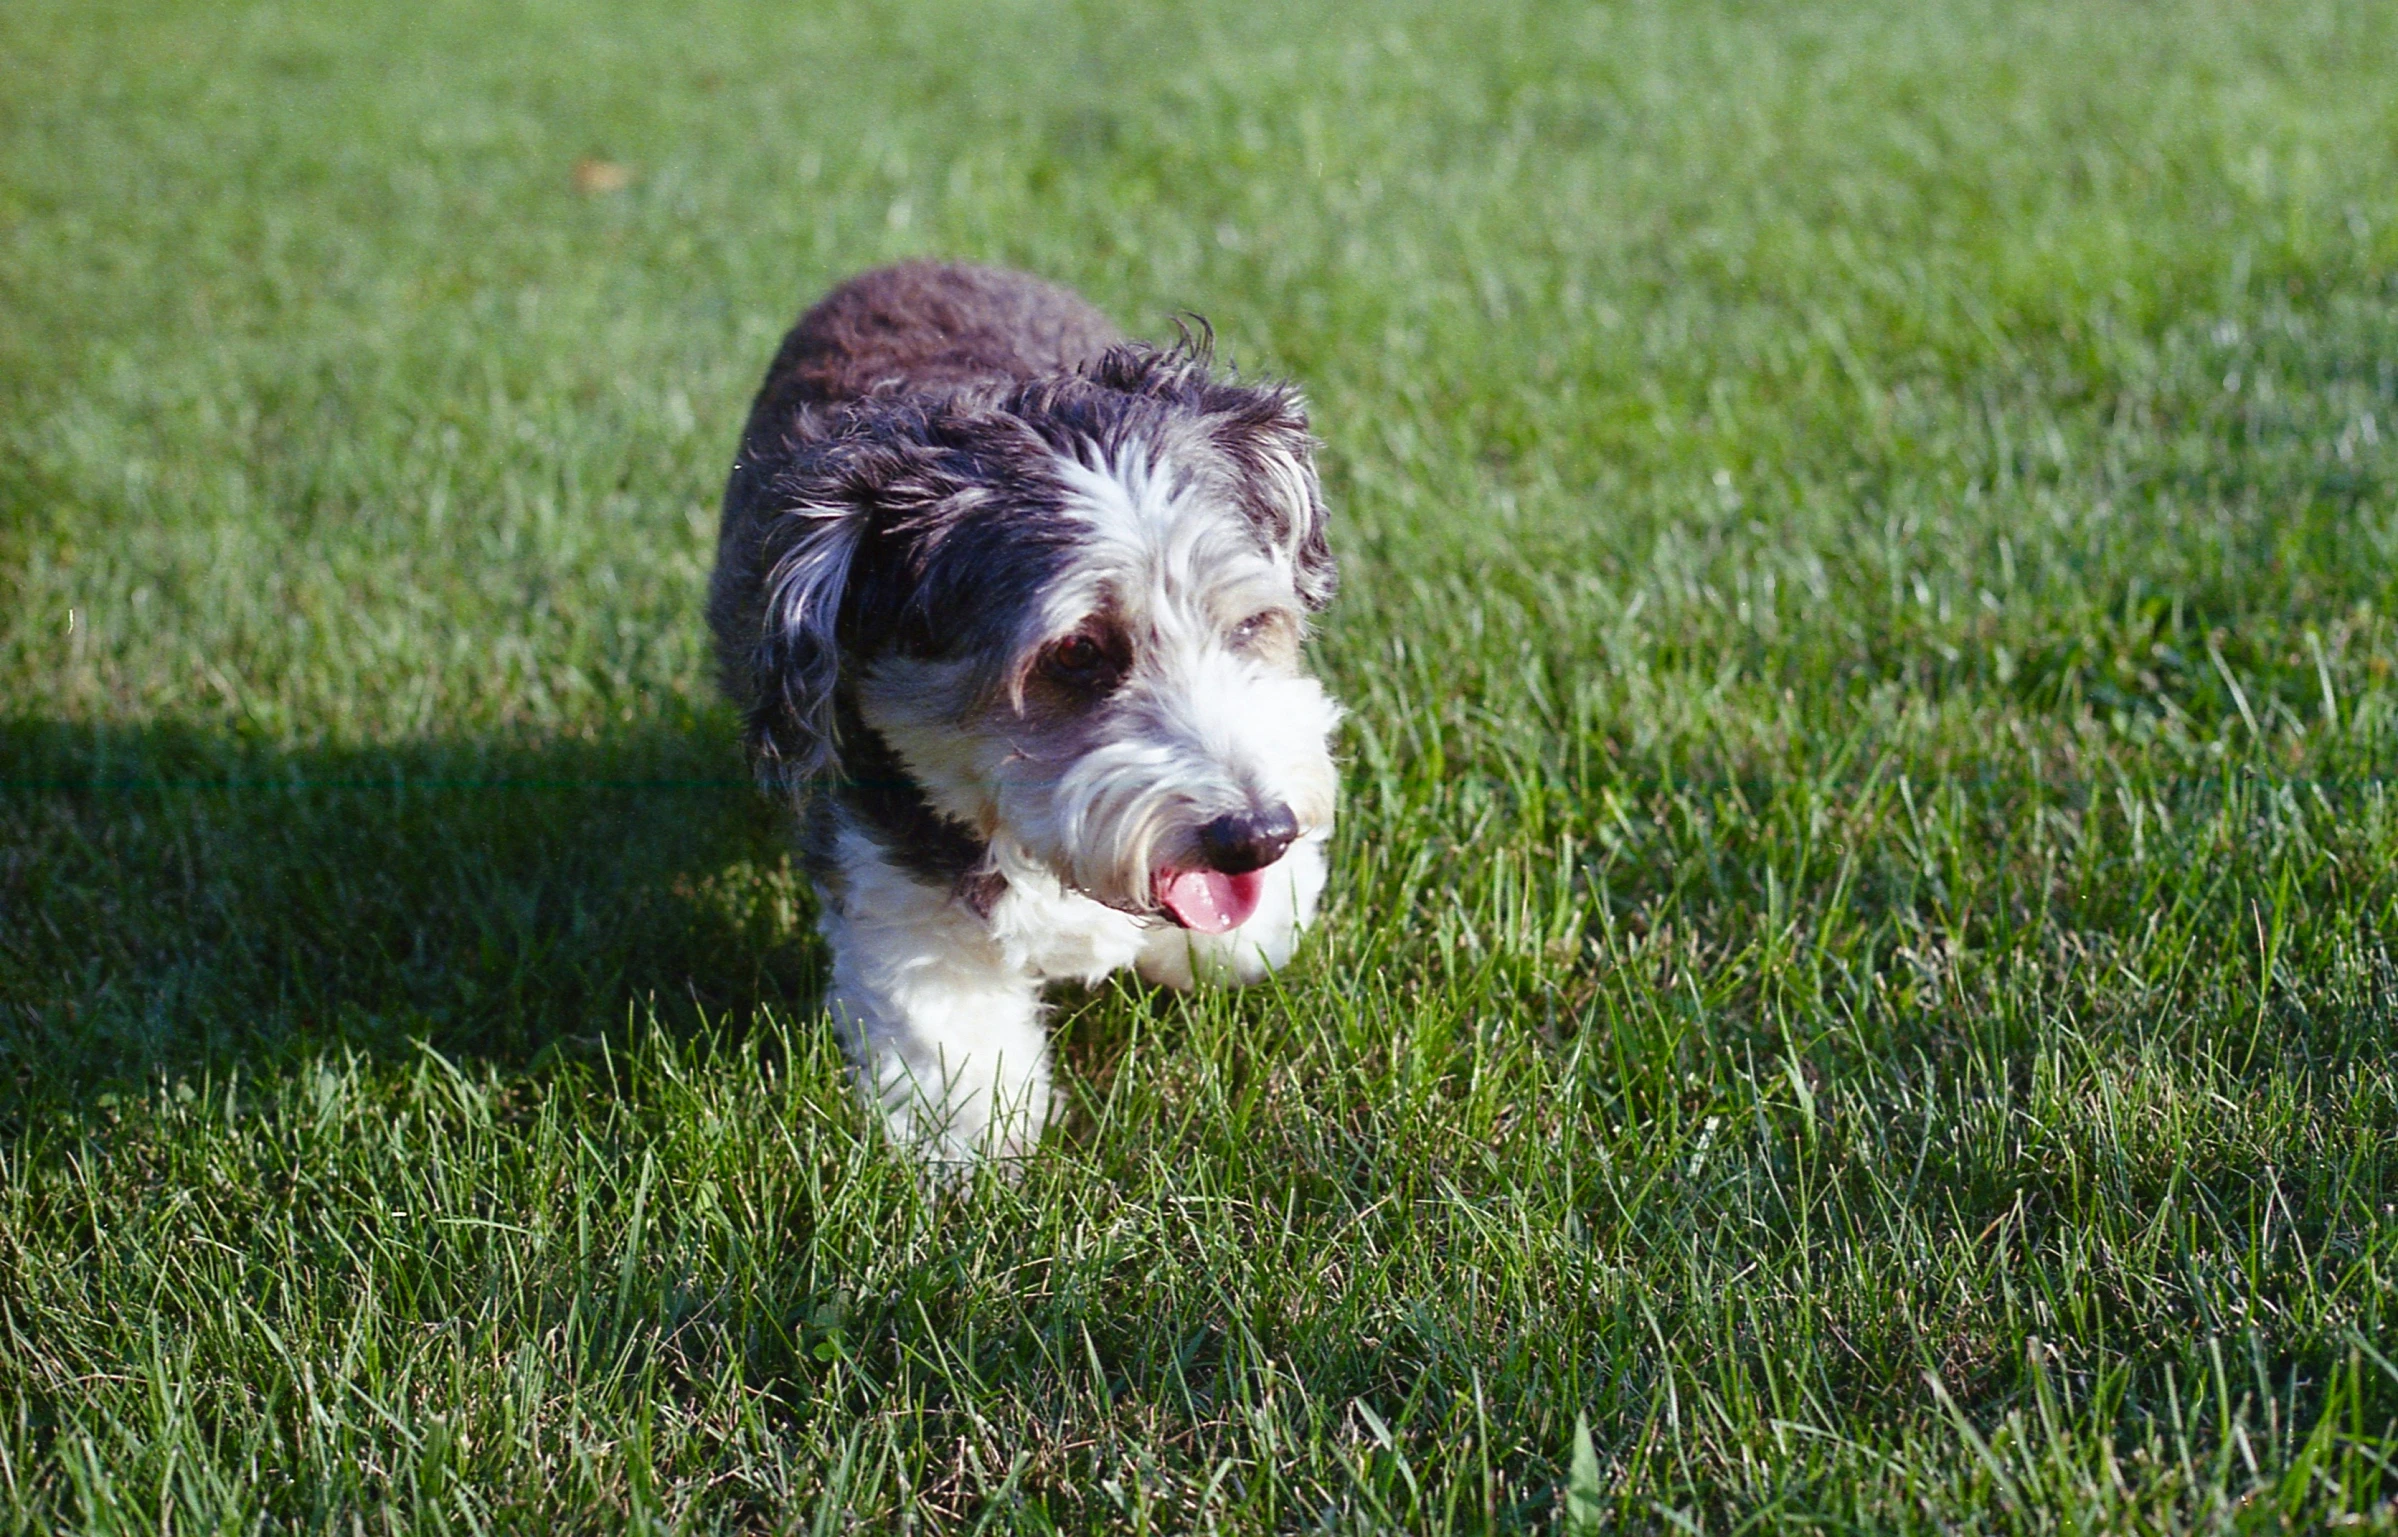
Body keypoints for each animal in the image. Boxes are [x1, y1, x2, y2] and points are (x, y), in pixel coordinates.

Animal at [709, 263, 1352, 1160]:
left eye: (1251, 620)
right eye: (1075, 652)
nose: (1256, 834)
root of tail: (909, 261)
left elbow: (1245, 942)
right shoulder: (890, 865)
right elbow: (949, 1045)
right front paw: (965, 1157)